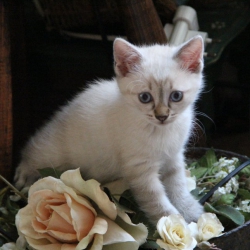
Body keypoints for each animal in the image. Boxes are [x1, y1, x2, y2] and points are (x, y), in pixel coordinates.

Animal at [14, 36, 205, 225]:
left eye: (176, 96)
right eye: (144, 97)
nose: (162, 116)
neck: (161, 132)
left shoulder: (174, 156)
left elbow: (178, 186)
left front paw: (191, 212)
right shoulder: (140, 169)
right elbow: (157, 201)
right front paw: (177, 223)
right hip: (53, 155)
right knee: (33, 149)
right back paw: (24, 176)